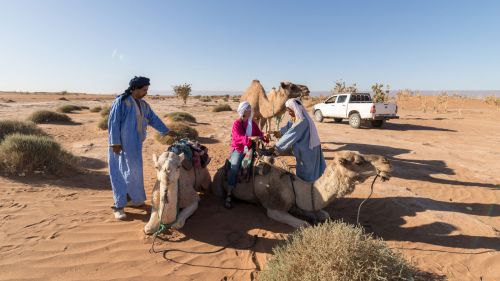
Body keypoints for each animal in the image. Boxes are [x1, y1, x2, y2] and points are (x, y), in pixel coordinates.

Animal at [211, 150, 390, 226]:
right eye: (358, 162)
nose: (387, 162)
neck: (294, 186)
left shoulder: (299, 203)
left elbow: (324, 214)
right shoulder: (275, 208)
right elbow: (304, 225)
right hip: (218, 185)